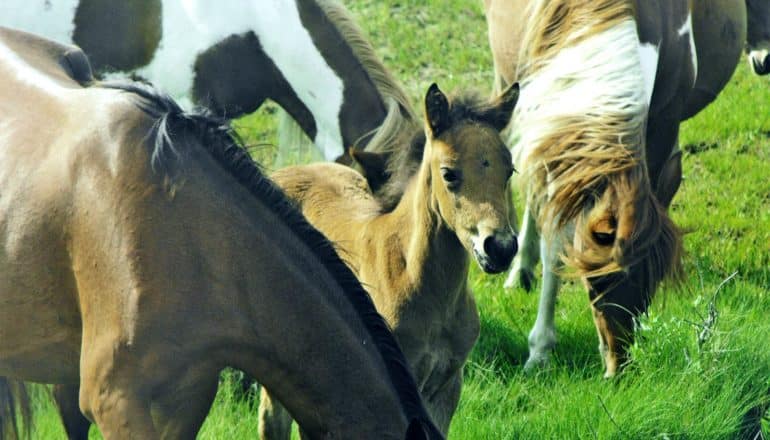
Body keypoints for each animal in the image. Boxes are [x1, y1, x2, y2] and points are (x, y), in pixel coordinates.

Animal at [486, 0, 744, 378]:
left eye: (652, 285)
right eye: (597, 282)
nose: (618, 369)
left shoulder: (662, 124)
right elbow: (556, 243)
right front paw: (540, 351)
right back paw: (520, 270)